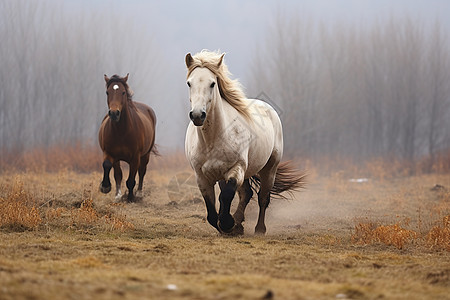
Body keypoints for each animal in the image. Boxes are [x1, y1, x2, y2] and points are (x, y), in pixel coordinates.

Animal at [99, 74, 157, 203]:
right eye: (107, 92)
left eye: (123, 92)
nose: (114, 113)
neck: (121, 131)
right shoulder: (110, 153)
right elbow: (108, 167)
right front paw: (106, 187)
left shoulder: (135, 157)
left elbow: (131, 180)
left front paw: (131, 198)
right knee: (118, 174)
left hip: (146, 155)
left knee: (142, 171)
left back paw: (139, 194)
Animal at [185, 51, 304, 234]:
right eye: (189, 83)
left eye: (212, 84)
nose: (198, 115)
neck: (212, 139)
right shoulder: (202, 177)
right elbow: (212, 211)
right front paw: (228, 226)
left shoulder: (237, 169)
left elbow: (227, 196)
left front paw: (228, 223)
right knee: (246, 194)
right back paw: (239, 224)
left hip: (269, 168)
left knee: (263, 197)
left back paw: (259, 228)